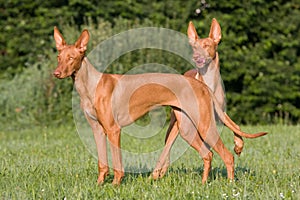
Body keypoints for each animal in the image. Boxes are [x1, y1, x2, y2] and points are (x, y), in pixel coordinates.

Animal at [52, 26, 266, 184]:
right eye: (59, 57)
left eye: (71, 58)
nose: (56, 73)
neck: (90, 85)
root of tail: (200, 83)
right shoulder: (97, 129)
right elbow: (102, 163)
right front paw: (99, 185)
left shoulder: (113, 130)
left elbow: (117, 163)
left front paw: (115, 185)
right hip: (187, 128)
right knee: (208, 155)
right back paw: (203, 184)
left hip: (205, 126)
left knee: (227, 156)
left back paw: (229, 185)